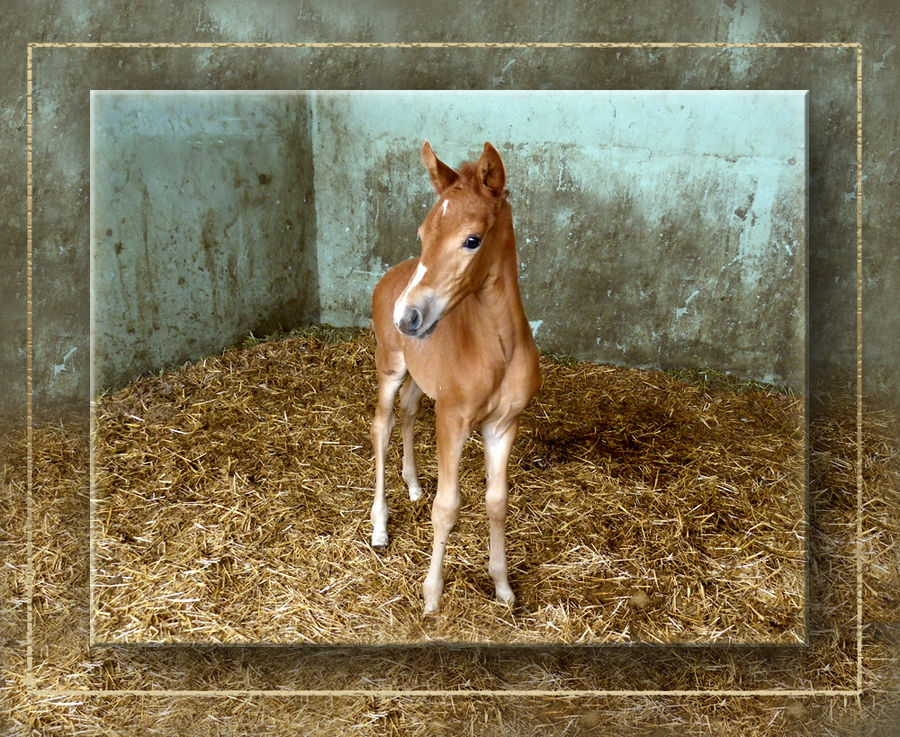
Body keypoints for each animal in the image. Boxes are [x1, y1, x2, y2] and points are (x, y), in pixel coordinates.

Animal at [368, 141, 536, 612]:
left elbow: (497, 501)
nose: (407, 317)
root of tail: (395, 272)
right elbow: (447, 507)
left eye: (472, 240)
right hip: (390, 366)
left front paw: (503, 588)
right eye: (424, 234)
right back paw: (380, 527)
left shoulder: (503, 425)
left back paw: (412, 485)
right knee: (382, 425)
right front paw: (431, 597)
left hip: (419, 378)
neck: (498, 347)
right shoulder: (452, 420)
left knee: (408, 411)